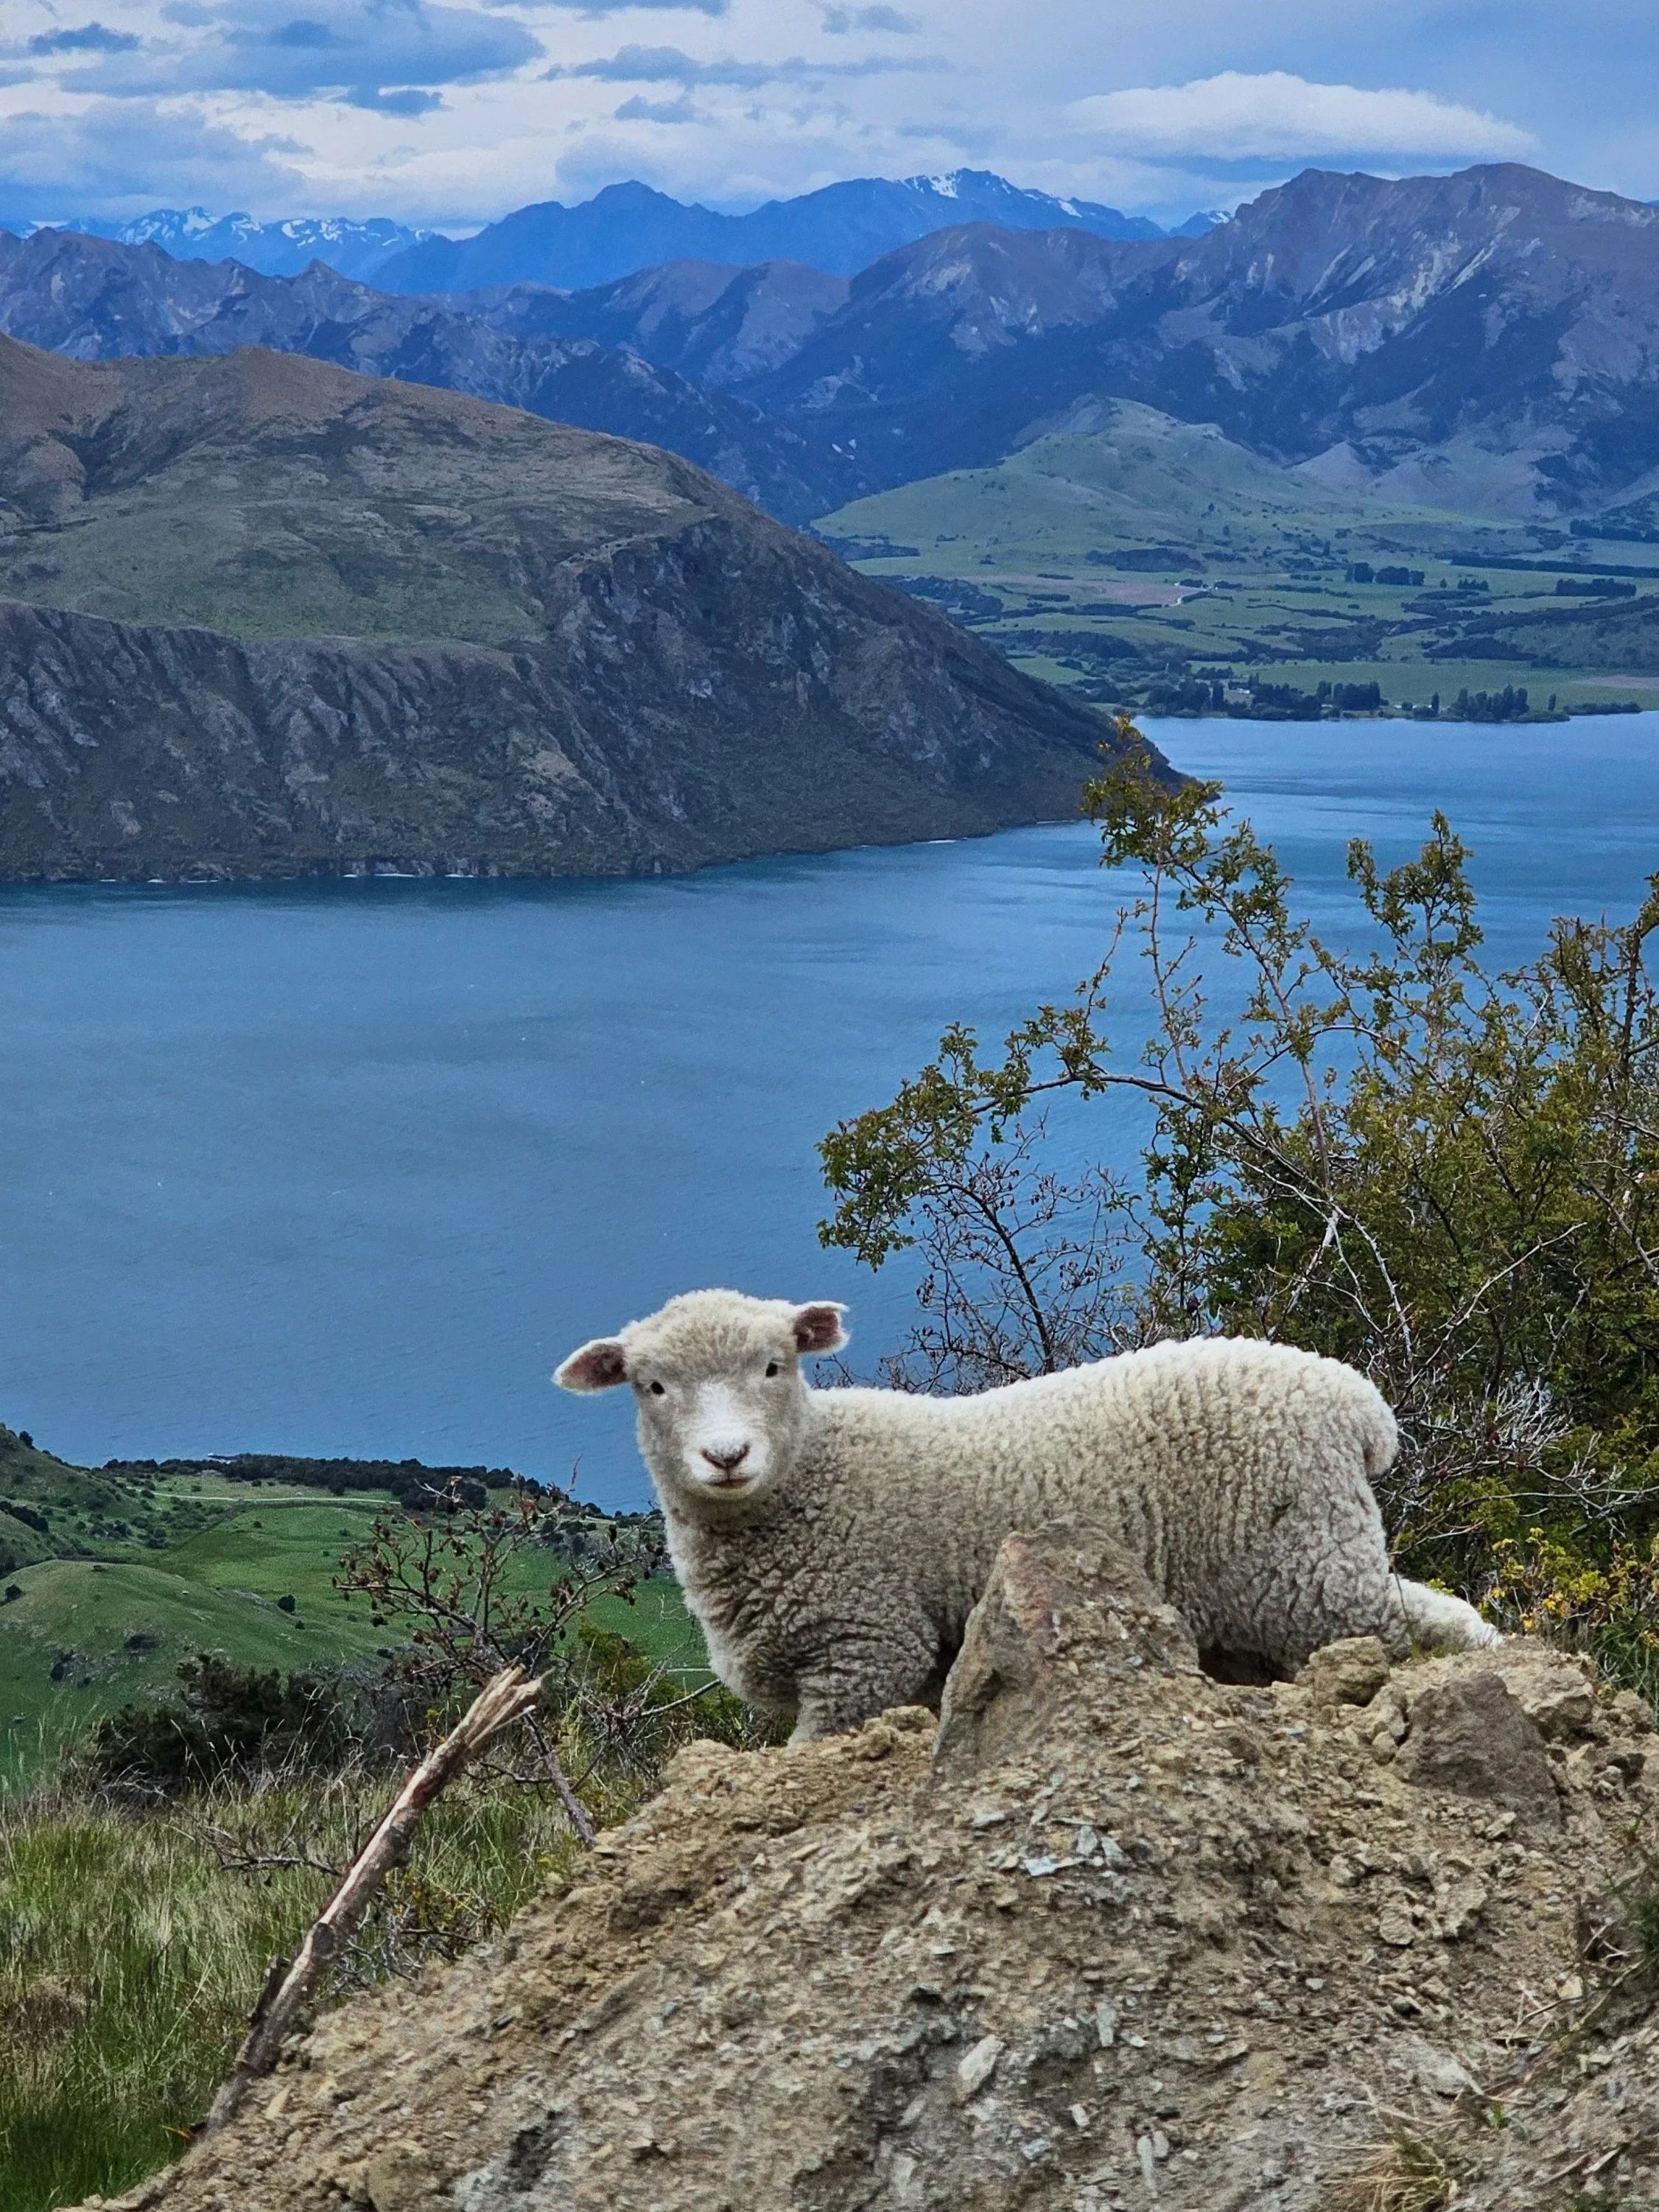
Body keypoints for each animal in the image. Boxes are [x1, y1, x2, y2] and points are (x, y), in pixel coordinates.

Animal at [556, 1289, 1497, 1742]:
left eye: (773, 1365)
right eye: (652, 1385)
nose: (725, 1456)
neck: (810, 1475)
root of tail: (1356, 1403)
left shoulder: (865, 1647)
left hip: (1301, 1560)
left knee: (1425, 1621)